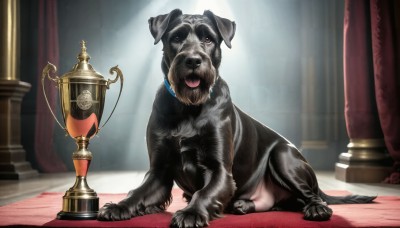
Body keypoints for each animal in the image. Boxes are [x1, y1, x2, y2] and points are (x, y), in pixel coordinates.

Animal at [97, 9, 376, 228]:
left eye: (208, 38)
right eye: (176, 37)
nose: (193, 60)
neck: (188, 107)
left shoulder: (219, 170)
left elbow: (204, 193)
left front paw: (191, 213)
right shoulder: (159, 171)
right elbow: (137, 193)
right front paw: (118, 207)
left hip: (283, 156)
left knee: (309, 195)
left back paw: (317, 208)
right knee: (286, 203)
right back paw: (243, 205)